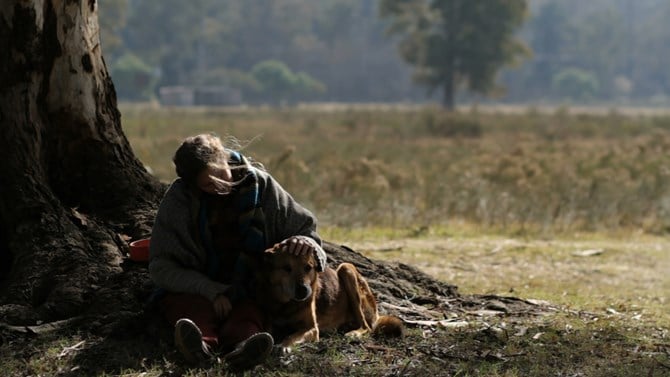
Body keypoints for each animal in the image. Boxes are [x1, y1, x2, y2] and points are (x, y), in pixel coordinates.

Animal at [256, 245, 404, 348]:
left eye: (308, 267)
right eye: (287, 268)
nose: (304, 290)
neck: (287, 304)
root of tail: (376, 312)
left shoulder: (312, 328)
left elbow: (291, 336)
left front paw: (284, 346)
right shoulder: (270, 323)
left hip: (346, 268)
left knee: (366, 326)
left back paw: (354, 333)